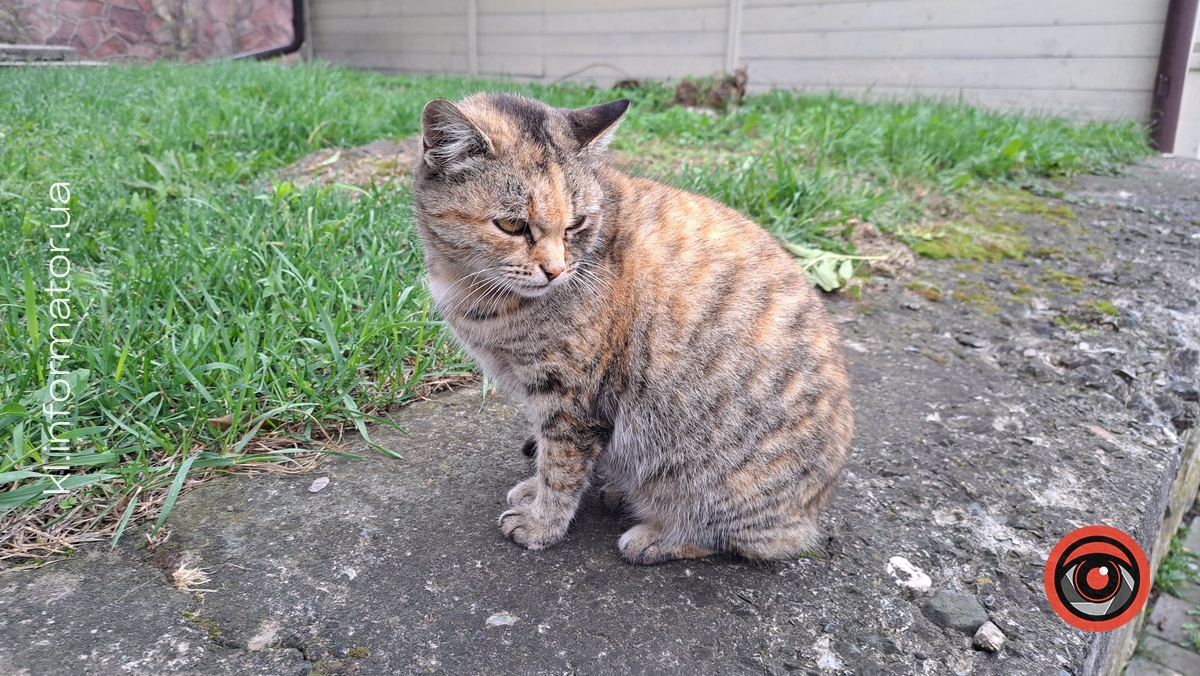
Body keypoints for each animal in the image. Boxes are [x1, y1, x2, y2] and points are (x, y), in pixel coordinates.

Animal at [412, 91, 854, 566]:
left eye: (575, 224)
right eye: (512, 225)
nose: (555, 270)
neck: (469, 285)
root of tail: (812, 511)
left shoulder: (571, 399)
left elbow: (560, 467)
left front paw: (541, 523)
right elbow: (550, 455)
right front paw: (533, 494)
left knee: (739, 537)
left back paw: (656, 535)